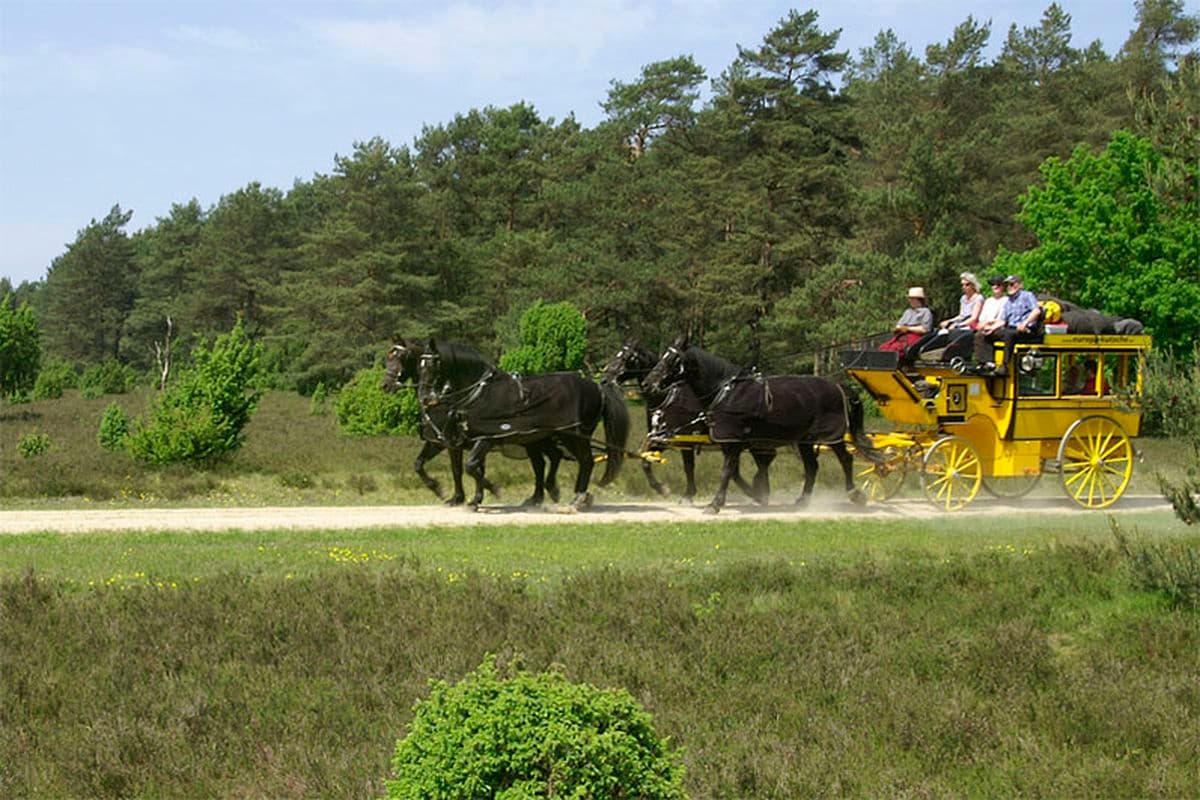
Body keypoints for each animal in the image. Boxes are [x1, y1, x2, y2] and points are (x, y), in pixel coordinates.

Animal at [384, 343, 561, 506]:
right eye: (388, 358)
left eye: (402, 357)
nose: (385, 385)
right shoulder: (439, 442)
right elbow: (421, 464)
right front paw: (447, 493)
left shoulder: (459, 442)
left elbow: (464, 469)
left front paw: (469, 497)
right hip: (534, 440)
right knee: (543, 462)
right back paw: (538, 497)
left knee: (546, 461)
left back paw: (545, 493)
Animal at [417, 340, 633, 510]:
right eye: (419, 366)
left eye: (433, 365)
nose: (425, 397)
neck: (480, 393)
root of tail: (597, 387)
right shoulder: (467, 439)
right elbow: (469, 468)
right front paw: (471, 499)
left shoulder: (485, 438)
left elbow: (470, 467)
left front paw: (492, 491)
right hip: (543, 437)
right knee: (550, 460)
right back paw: (546, 494)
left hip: (573, 434)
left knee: (585, 460)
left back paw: (578, 498)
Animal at [600, 340, 777, 503]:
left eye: (627, 357)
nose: (605, 378)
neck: (666, 398)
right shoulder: (662, 438)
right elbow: (645, 460)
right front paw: (663, 489)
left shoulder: (685, 439)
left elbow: (688, 466)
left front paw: (687, 494)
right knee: (750, 465)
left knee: (762, 461)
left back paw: (760, 492)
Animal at [648, 335, 873, 515]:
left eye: (673, 359)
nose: (649, 382)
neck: (725, 391)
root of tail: (838, 386)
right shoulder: (730, 442)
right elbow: (732, 472)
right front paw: (754, 494)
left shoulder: (733, 441)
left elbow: (726, 472)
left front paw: (715, 504)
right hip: (804, 440)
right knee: (811, 466)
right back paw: (803, 501)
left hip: (831, 436)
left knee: (845, 459)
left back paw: (855, 494)